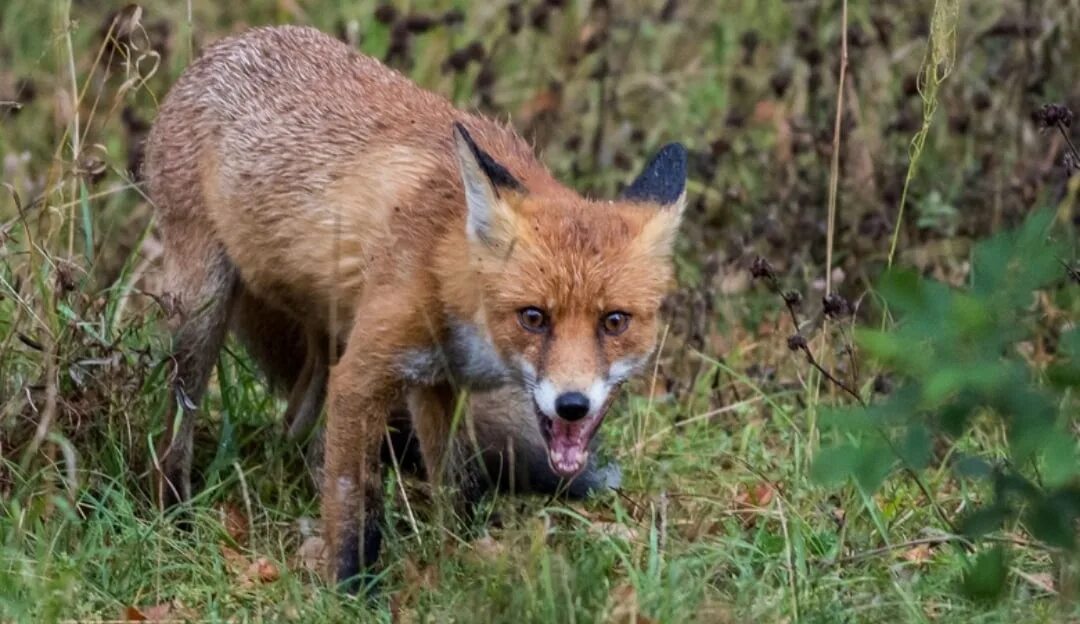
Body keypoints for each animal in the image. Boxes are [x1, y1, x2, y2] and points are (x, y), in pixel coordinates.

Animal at [143, 23, 686, 587]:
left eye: (614, 321)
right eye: (533, 317)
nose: (572, 405)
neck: (443, 262)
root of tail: (228, 44)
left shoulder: (436, 382)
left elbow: (459, 482)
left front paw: (463, 556)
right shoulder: (362, 377)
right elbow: (355, 505)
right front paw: (350, 589)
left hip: (328, 336)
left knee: (296, 424)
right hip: (201, 311)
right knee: (176, 427)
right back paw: (174, 512)